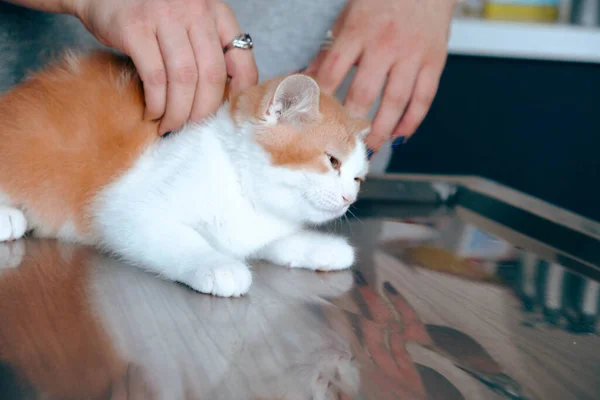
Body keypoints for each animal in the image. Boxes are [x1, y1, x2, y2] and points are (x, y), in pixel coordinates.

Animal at [0, 50, 370, 296]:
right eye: (332, 161)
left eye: (358, 178)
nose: (348, 198)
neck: (239, 182)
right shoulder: (122, 208)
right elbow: (178, 239)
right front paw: (216, 264)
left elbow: (263, 241)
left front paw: (317, 246)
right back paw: (8, 218)